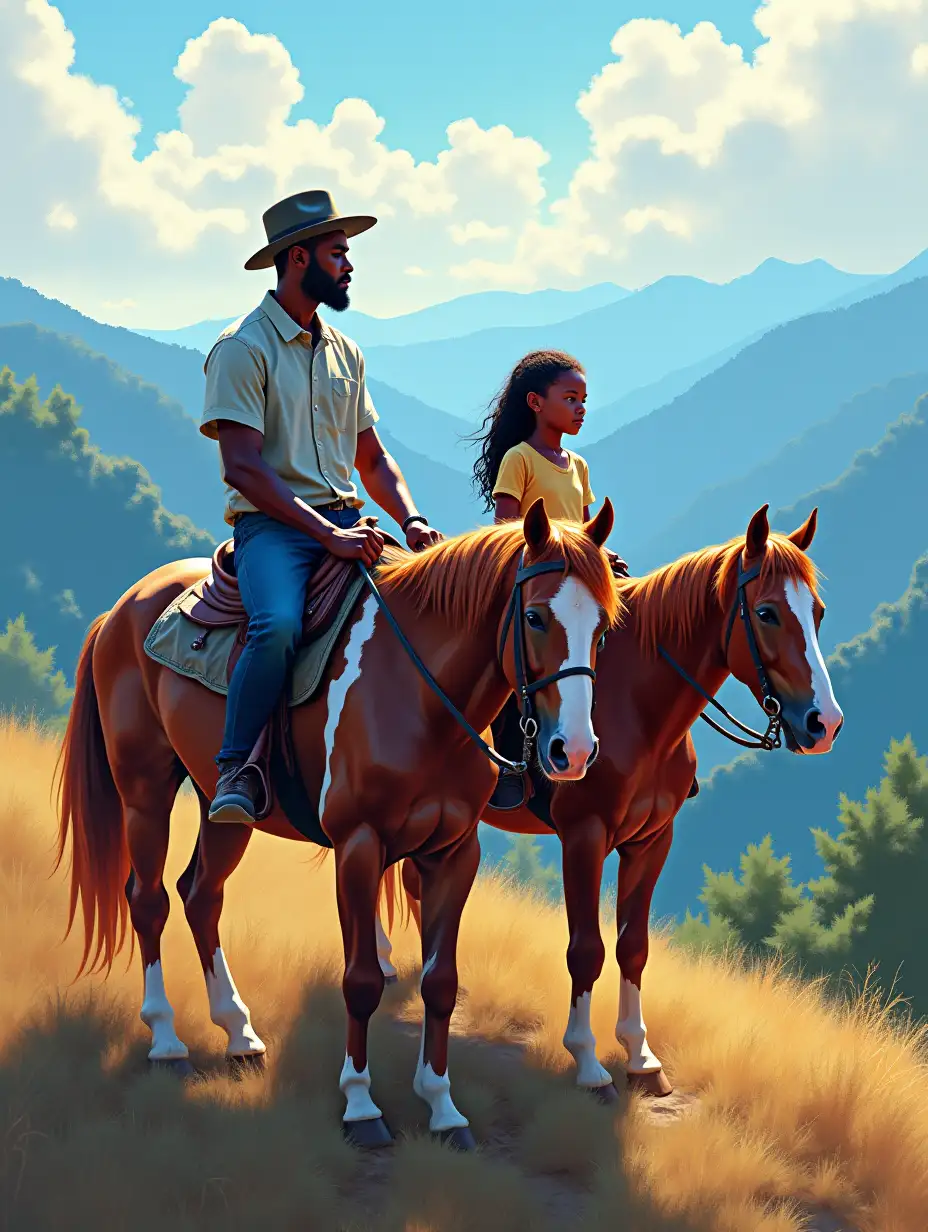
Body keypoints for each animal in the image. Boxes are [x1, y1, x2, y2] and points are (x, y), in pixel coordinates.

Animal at [54, 495, 618, 1148]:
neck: (416, 694)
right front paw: (361, 1106)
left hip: (224, 810)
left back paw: (239, 1032)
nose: (572, 752)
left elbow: (440, 982)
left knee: (200, 894)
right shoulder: (358, 845)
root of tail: (123, 609)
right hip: (144, 790)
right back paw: (167, 1042)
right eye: (534, 617)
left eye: (602, 627)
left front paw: (444, 1108)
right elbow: (363, 980)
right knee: (148, 899)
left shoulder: (454, 852)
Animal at [377, 505, 838, 1103]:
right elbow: (586, 948)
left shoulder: (651, 840)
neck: (638, 709)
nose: (824, 724)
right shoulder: (585, 835)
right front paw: (588, 1062)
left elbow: (632, 946)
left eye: (818, 613)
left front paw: (641, 1058)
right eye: (766, 612)